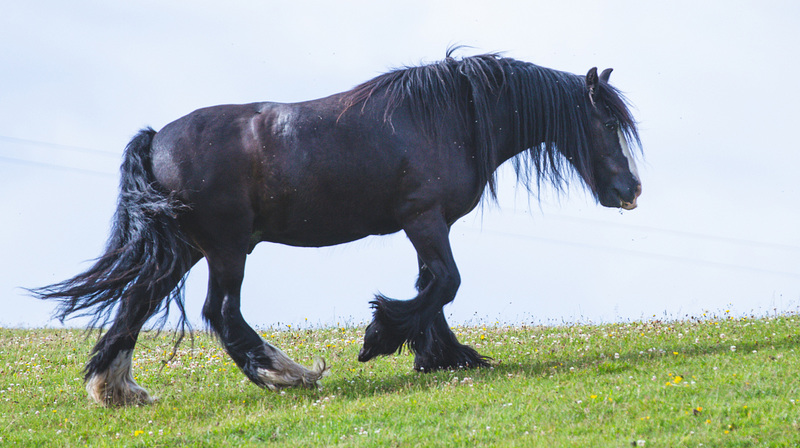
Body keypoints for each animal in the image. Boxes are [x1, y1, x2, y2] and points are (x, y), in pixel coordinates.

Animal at [34, 51, 640, 406]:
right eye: (607, 123)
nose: (631, 190)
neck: (451, 115)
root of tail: (157, 138)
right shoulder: (424, 218)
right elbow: (444, 283)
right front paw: (381, 338)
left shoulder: (425, 224)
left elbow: (431, 288)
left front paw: (441, 355)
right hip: (226, 248)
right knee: (220, 313)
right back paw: (289, 374)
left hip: (186, 247)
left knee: (137, 304)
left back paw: (115, 389)